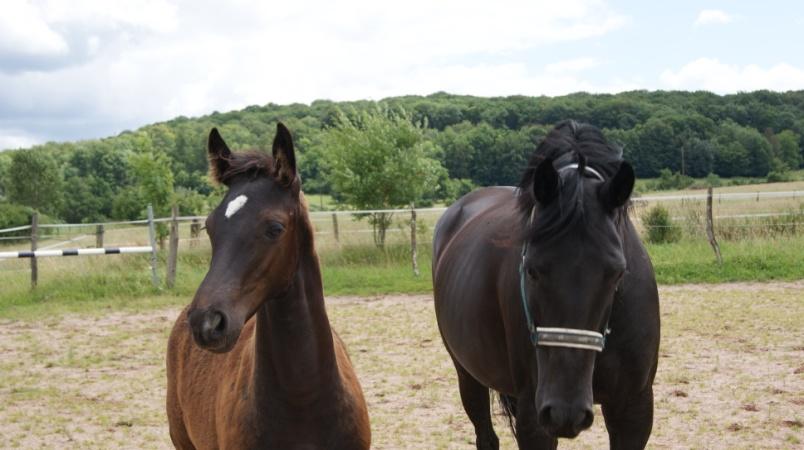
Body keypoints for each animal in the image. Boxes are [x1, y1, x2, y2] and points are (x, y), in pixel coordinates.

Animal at [434, 121, 660, 448]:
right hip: (468, 374)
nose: (566, 411)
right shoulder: (535, 415)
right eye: (531, 270)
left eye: (617, 273)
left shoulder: (634, 409)